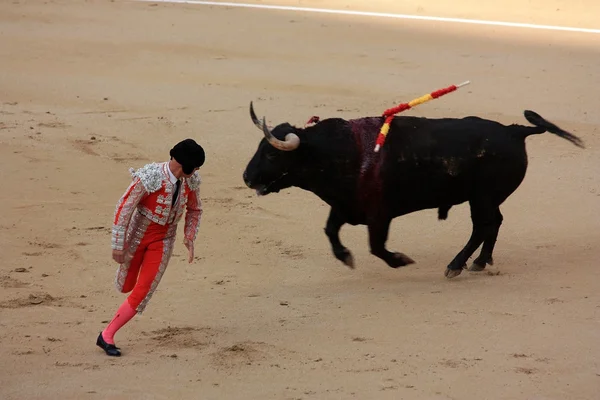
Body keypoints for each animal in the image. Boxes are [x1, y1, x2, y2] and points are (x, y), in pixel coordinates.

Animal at [241, 102, 584, 278]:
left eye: (271, 154)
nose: (246, 177)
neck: (333, 151)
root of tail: (515, 131)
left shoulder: (379, 215)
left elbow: (376, 246)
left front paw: (400, 260)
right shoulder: (345, 206)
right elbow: (330, 231)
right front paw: (346, 257)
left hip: (481, 197)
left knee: (484, 225)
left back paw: (456, 265)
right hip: (484, 199)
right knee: (493, 224)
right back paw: (479, 262)